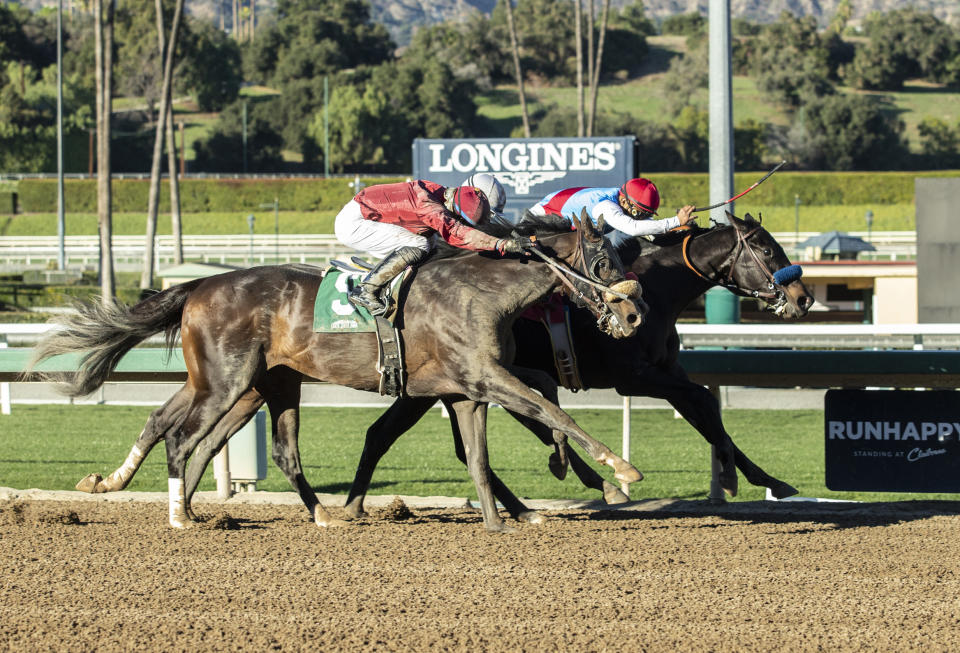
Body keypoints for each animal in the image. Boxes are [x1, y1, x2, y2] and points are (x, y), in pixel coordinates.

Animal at [28, 214, 644, 528]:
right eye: (603, 260)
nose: (634, 312)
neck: (481, 290)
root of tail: (200, 283)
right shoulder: (480, 376)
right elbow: (546, 409)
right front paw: (619, 471)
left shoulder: (468, 384)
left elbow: (505, 427)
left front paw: (519, 508)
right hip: (228, 380)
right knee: (186, 438)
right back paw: (184, 516)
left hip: (246, 382)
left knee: (178, 426)